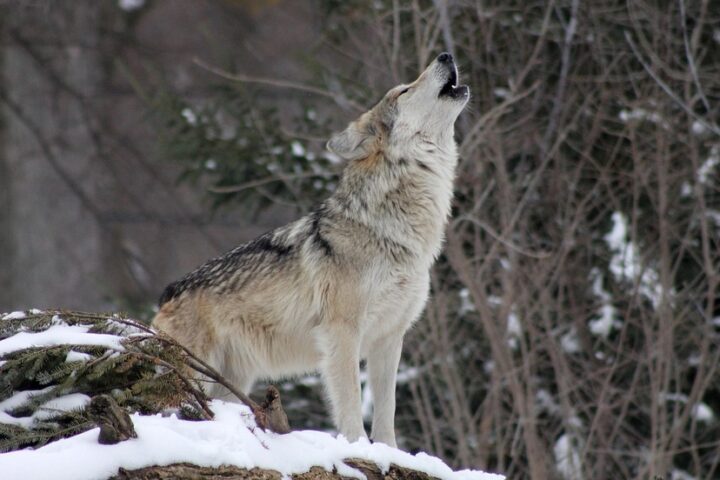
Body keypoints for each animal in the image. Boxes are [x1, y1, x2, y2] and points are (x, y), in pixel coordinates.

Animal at [152, 52, 469, 447]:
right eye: (404, 90)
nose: (446, 55)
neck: (391, 230)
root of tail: (167, 292)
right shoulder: (341, 333)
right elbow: (351, 404)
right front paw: (357, 447)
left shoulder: (389, 338)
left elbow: (387, 412)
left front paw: (389, 452)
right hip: (193, 375)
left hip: (230, 383)